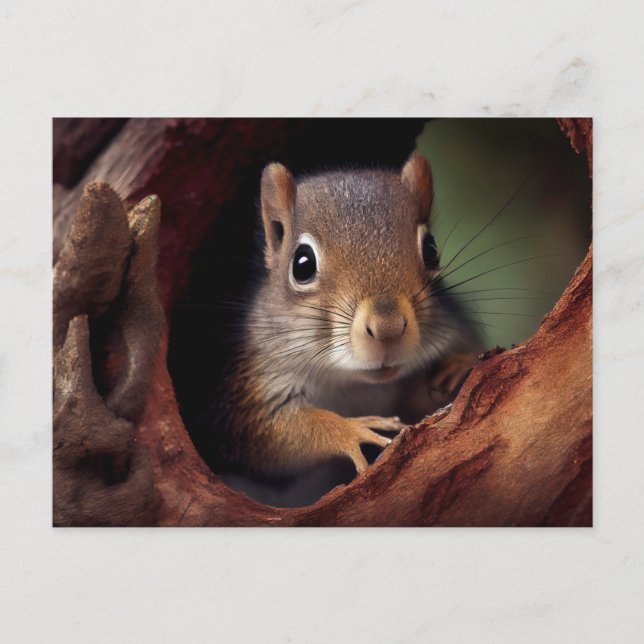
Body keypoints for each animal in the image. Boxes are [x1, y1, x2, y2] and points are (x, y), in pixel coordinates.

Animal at [213, 152, 479, 479]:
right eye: (302, 264)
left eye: (431, 250)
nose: (388, 328)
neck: (354, 381)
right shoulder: (256, 381)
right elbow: (273, 431)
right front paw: (352, 430)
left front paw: (458, 364)